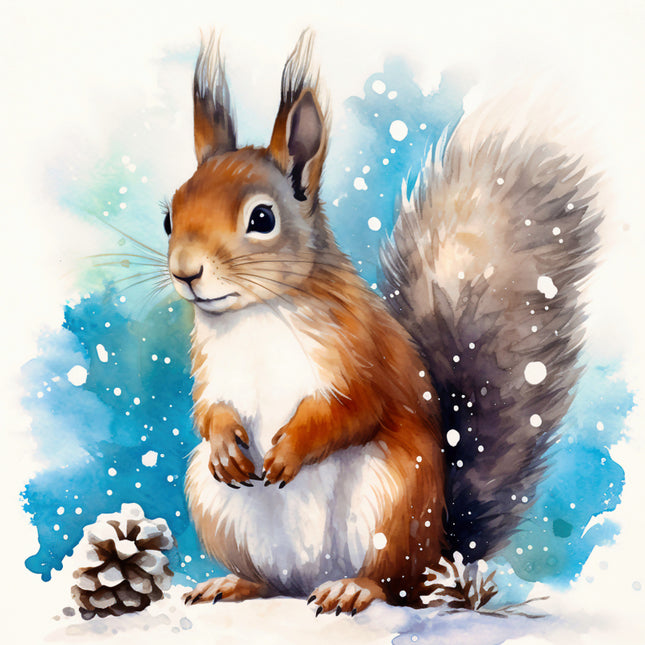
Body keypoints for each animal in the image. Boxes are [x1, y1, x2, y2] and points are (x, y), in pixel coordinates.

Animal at [165, 31, 601, 615]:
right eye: (169, 216)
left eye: (262, 218)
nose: (185, 272)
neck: (255, 313)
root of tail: (440, 555)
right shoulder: (213, 369)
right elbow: (208, 411)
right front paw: (224, 445)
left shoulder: (359, 353)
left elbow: (353, 409)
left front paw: (288, 451)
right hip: (215, 505)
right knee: (271, 580)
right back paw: (233, 583)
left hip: (393, 501)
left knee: (394, 585)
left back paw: (353, 588)